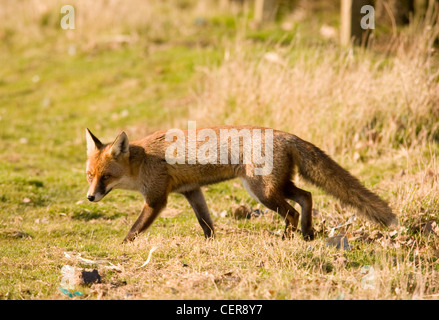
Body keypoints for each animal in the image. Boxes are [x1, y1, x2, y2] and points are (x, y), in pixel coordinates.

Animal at [84, 125, 398, 242]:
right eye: (90, 175)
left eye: (106, 177)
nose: (89, 198)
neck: (142, 162)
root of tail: (287, 135)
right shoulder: (191, 191)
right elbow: (206, 223)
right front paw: (210, 243)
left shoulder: (157, 199)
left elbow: (135, 228)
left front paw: (123, 246)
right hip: (277, 186)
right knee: (307, 196)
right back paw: (307, 234)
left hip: (261, 191)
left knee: (292, 211)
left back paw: (286, 238)